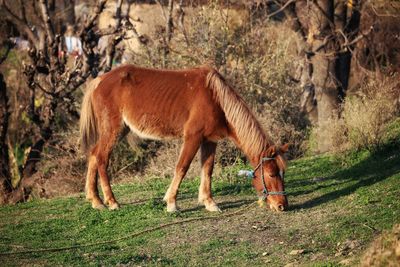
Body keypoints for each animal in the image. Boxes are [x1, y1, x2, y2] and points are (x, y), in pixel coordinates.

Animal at [79, 65, 288, 214]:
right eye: (271, 174)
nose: (282, 205)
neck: (215, 98)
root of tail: (100, 80)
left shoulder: (210, 141)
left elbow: (207, 170)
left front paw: (209, 202)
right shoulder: (193, 138)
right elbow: (182, 168)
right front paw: (171, 203)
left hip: (120, 130)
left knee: (93, 154)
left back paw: (95, 200)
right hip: (113, 131)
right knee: (101, 157)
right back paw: (111, 201)